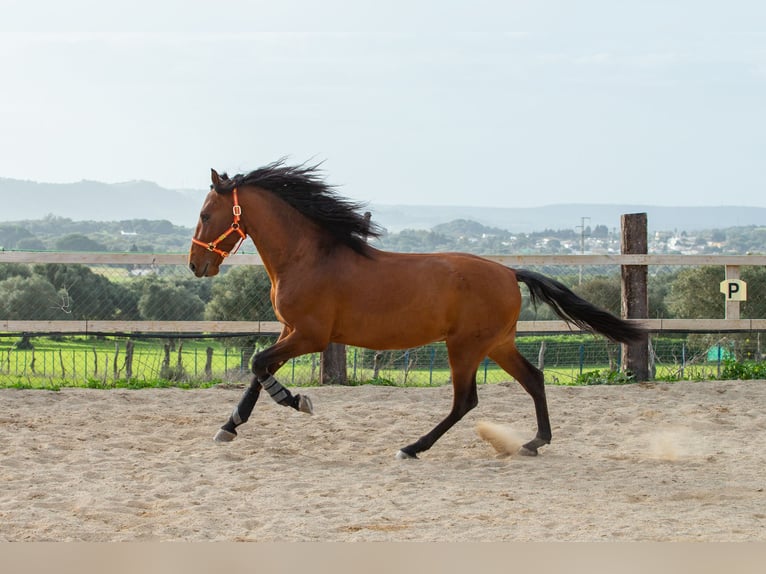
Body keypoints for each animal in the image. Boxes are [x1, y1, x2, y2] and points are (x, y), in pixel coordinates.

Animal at [188, 160, 645, 459]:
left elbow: (257, 363)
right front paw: (229, 427)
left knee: (465, 402)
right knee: (533, 378)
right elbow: (258, 369)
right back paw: (534, 442)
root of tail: (509, 271)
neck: (309, 257)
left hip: (465, 347)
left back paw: (412, 447)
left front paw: (296, 401)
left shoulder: (310, 336)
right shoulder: (291, 332)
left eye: (205, 214)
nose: (195, 265)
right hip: (497, 344)